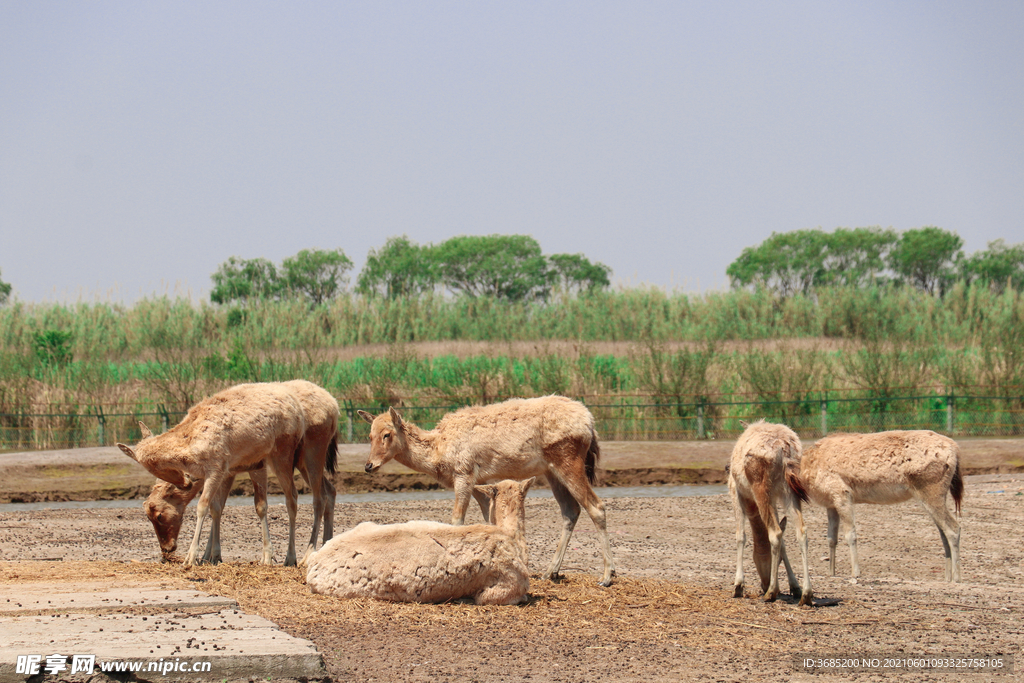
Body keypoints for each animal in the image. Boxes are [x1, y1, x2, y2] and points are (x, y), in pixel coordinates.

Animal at [729, 419, 815, 606]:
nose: (764, 583)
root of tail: (786, 448)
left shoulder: (735, 490)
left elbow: (741, 536)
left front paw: (738, 586)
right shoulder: (774, 498)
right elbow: (784, 541)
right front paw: (795, 587)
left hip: (762, 488)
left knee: (775, 533)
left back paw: (771, 592)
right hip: (790, 490)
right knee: (801, 531)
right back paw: (806, 594)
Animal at [802, 428, 962, 581]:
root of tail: (955, 449)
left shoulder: (842, 494)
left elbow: (850, 535)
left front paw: (855, 573)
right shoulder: (830, 503)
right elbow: (831, 538)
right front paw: (831, 573)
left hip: (931, 491)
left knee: (953, 528)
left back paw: (956, 578)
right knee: (943, 531)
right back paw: (947, 577)